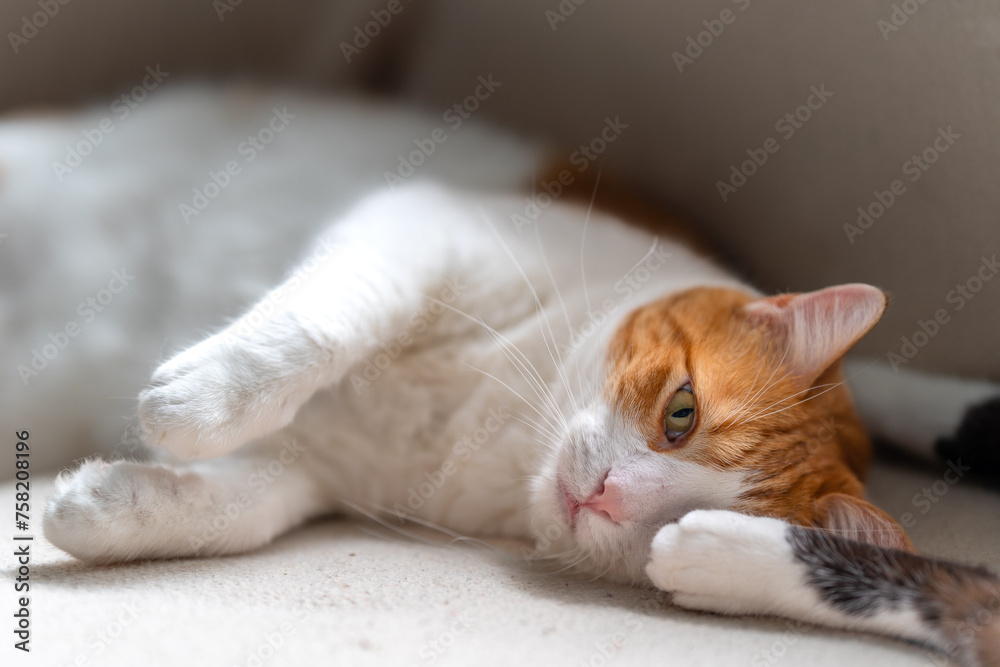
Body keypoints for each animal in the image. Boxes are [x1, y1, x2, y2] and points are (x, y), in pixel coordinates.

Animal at [3, 86, 996, 664]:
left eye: (683, 522)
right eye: (681, 414)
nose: (607, 494)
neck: (493, 422)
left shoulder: (319, 472)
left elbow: (242, 510)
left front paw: (108, 506)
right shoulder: (418, 227)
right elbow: (322, 323)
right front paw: (200, 403)